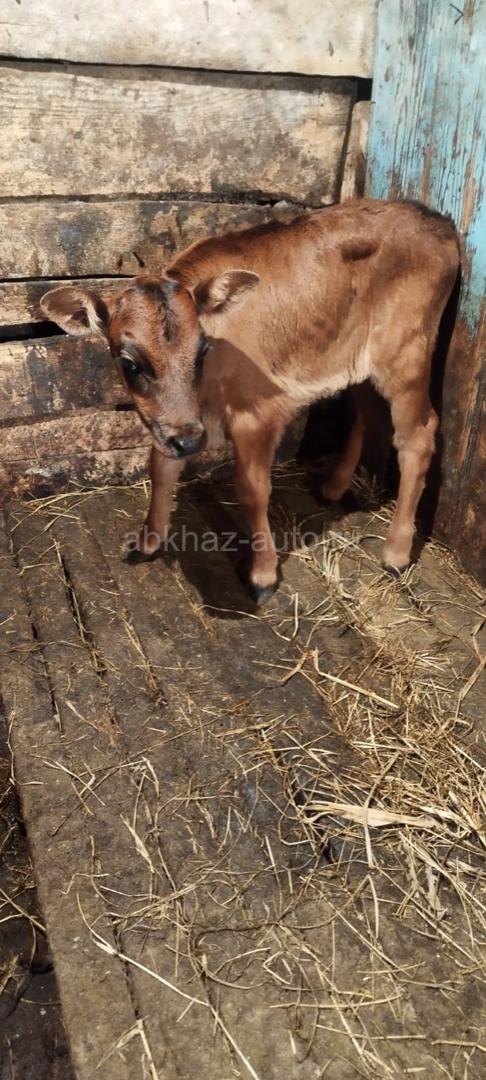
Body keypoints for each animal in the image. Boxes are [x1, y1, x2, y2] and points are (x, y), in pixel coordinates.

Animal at [41, 199, 460, 604]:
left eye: (202, 350)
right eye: (129, 363)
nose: (190, 442)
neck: (208, 390)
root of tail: (436, 219)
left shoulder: (257, 415)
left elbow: (251, 489)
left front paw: (262, 574)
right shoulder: (174, 421)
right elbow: (160, 468)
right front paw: (147, 542)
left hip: (406, 356)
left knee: (419, 436)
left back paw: (396, 552)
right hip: (358, 361)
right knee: (366, 415)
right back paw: (332, 487)